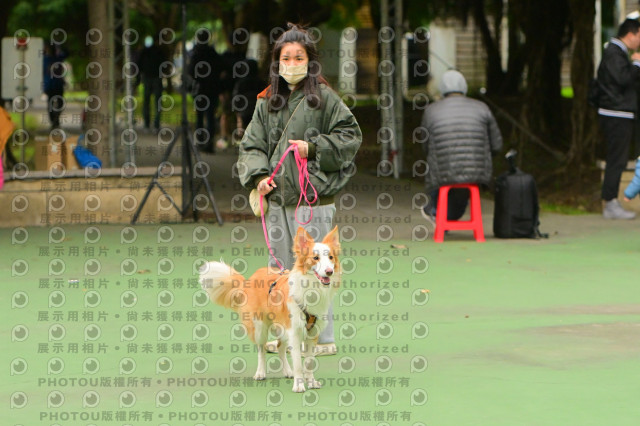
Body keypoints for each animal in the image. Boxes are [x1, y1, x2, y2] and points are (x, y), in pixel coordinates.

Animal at [199, 226, 340, 393]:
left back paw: (287, 371)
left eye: (330, 257)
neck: (311, 288)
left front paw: (311, 382)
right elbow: (298, 363)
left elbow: (309, 362)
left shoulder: (312, 333)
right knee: (261, 349)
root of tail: (249, 280)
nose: (329, 271)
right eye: (315, 258)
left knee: (280, 347)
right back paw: (260, 373)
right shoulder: (294, 332)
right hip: (260, 328)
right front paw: (299, 385)